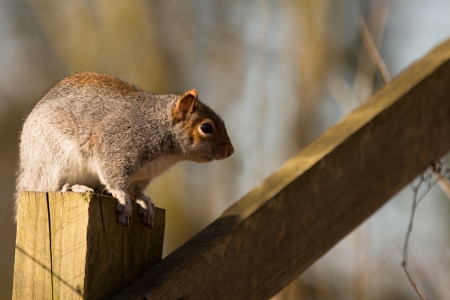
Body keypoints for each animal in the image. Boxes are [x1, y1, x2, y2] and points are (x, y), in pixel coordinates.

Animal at [16, 72, 236, 226]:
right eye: (206, 128)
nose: (230, 151)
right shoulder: (115, 145)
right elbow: (114, 177)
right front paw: (123, 197)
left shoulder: (144, 174)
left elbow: (136, 190)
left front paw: (144, 201)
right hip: (53, 159)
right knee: (50, 186)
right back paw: (72, 187)